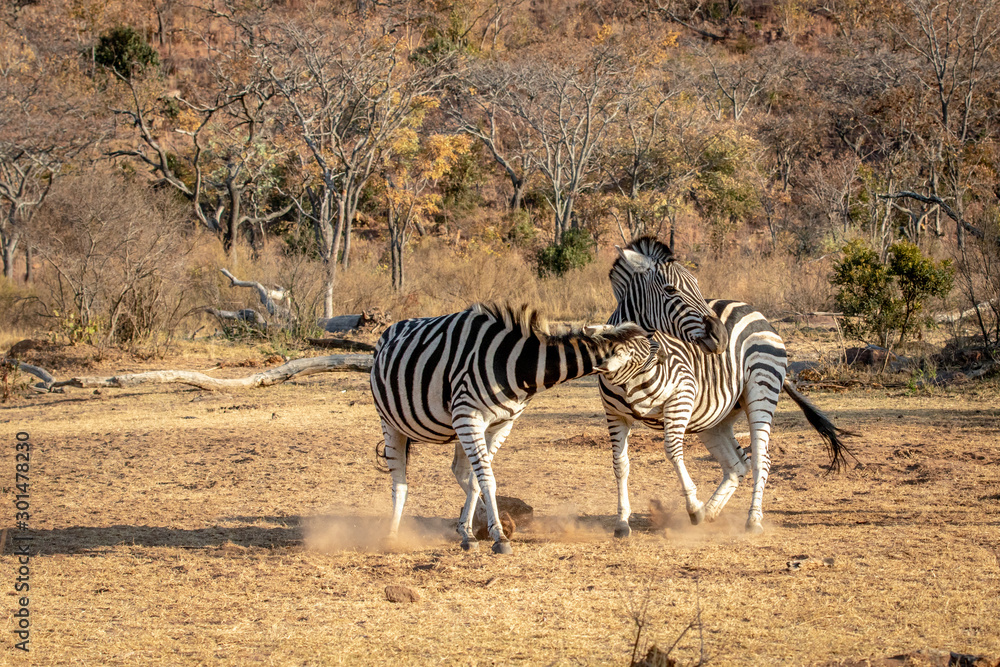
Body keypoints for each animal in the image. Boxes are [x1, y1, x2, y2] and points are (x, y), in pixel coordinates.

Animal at [370, 302, 659, 554]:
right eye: (644, 361)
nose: (657, 395)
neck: (518, 366)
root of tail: (394, 326)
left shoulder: (499, 425)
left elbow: (477, 480)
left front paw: (477, 530)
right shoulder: (469, 416)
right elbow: (487, 479)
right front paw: (499, 536)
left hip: (458, 427)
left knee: (460, 472)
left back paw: (468, 530)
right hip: (392, 422)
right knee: (400, 482)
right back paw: (392, 536)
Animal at [599, 236, 851, 535]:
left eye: (697, 285)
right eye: (670, 289)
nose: (720, 335)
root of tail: (756, 312)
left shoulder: (682, 395)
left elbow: (672, 450)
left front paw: (693, 507)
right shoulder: (614, 414)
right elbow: (620, 465)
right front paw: (622, 522)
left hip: (760, 390)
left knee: (760, 460)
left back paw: (752, 519)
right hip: (713, 416)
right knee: (737, 465)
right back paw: (711, 512)